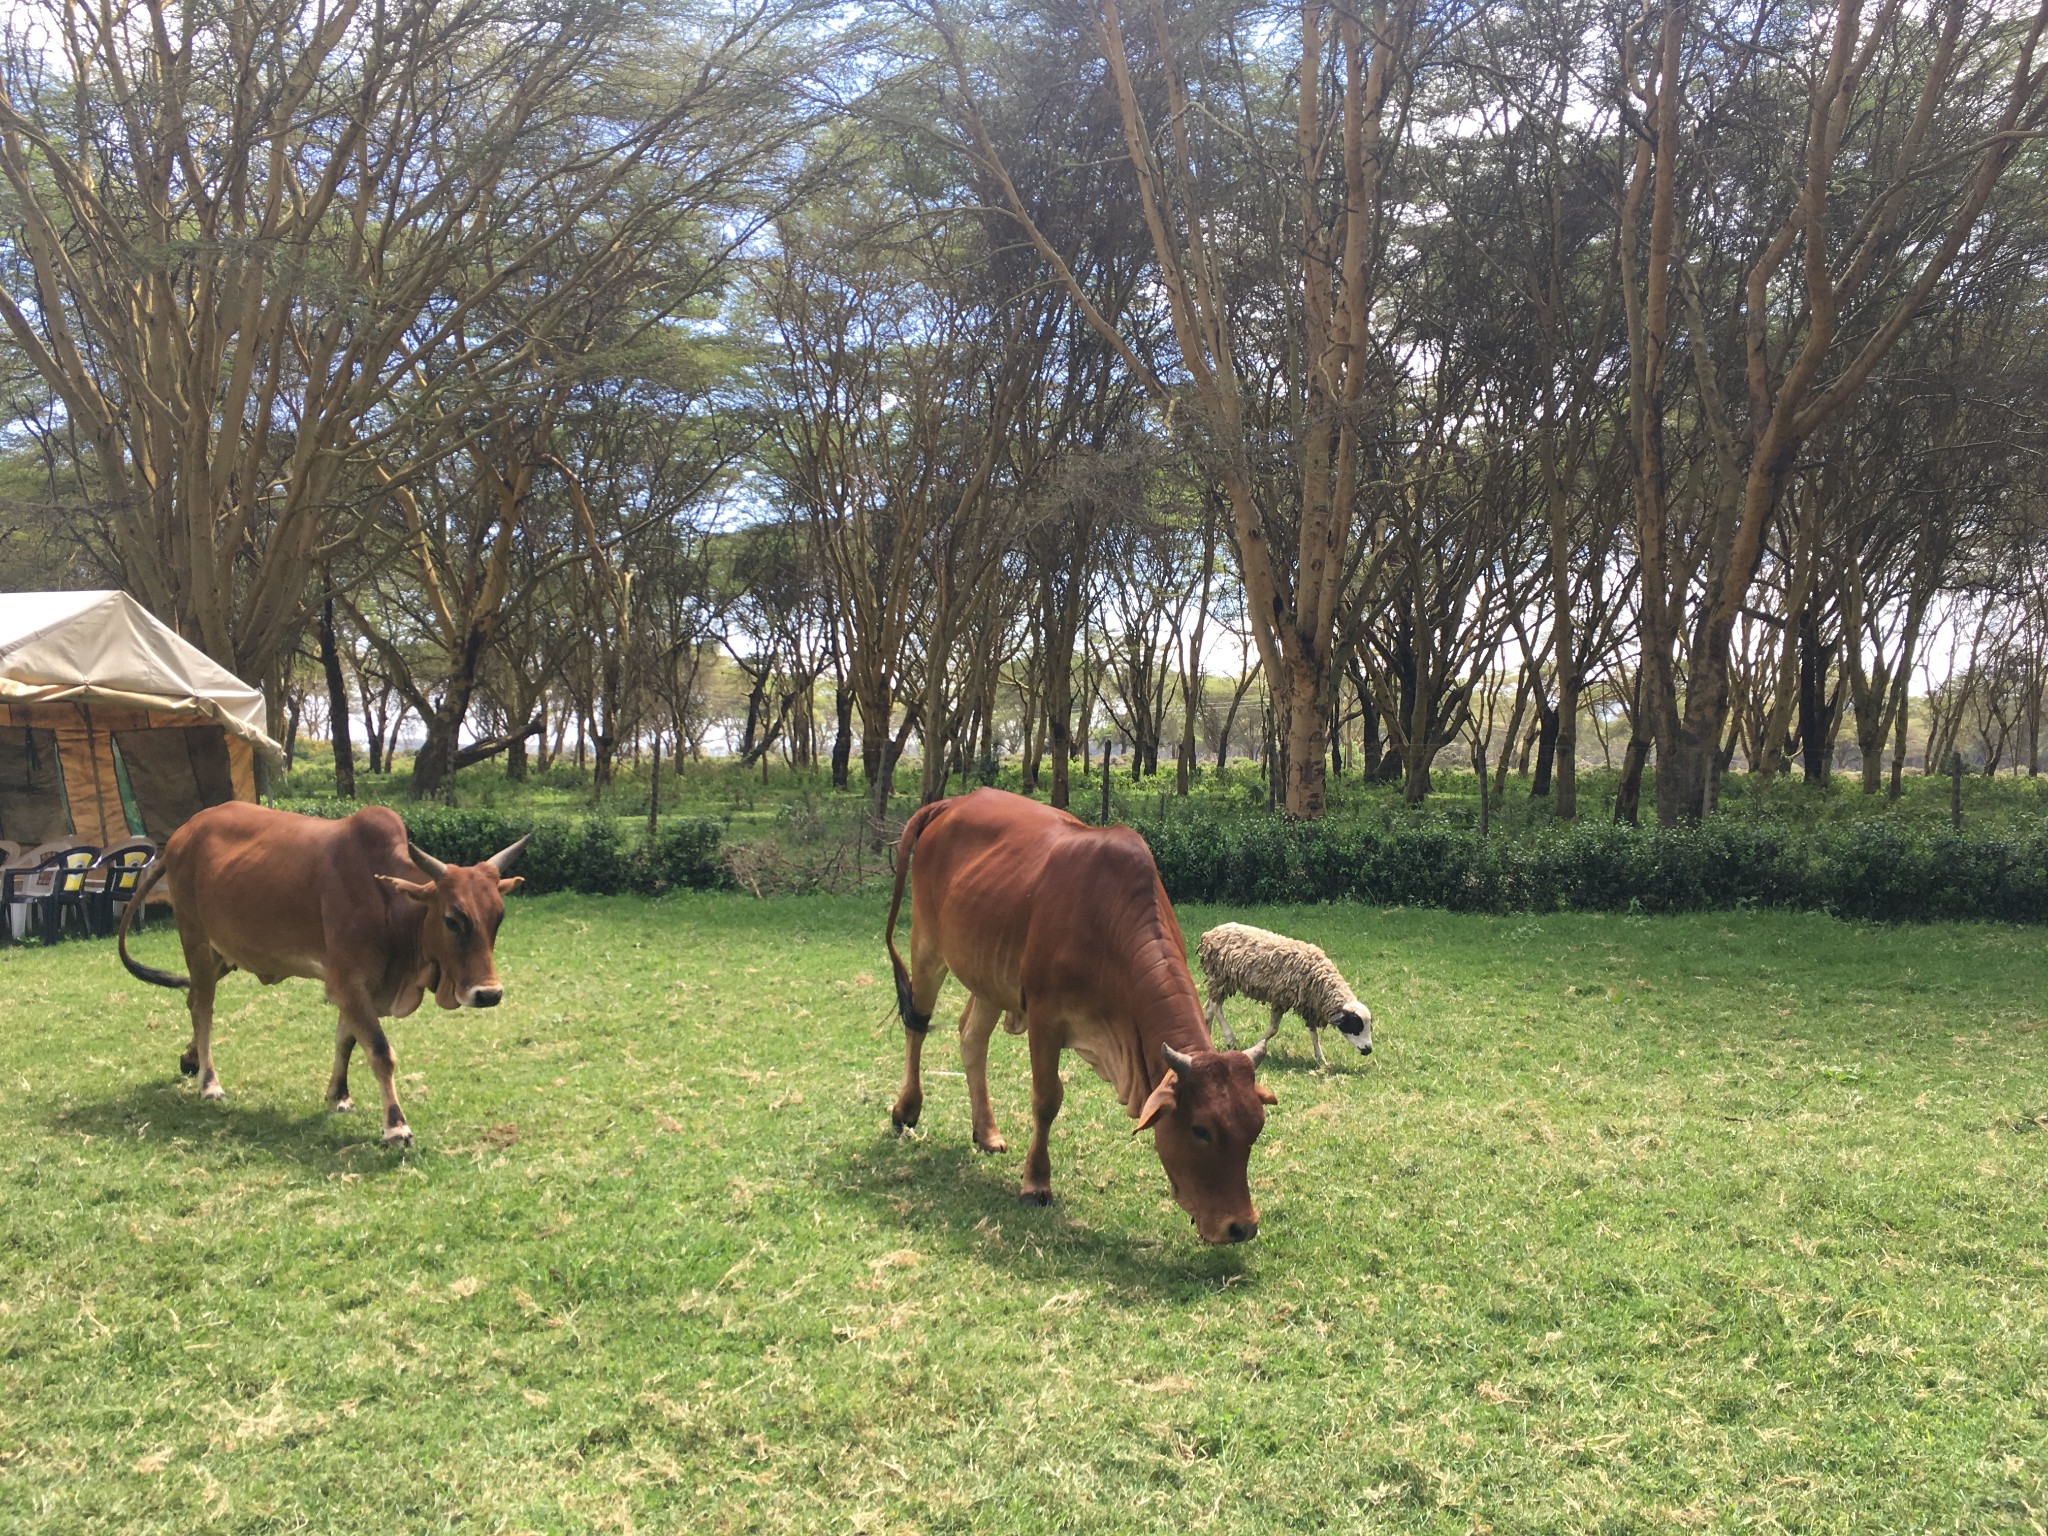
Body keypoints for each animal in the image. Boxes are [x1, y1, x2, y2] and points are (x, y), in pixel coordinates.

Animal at [117, 806, 528, 1146]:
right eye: (452, 919)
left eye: (498, 917)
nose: (488, 994)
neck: (387, 902)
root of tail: (180, 836)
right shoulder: (348, 983)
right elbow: (379, 1051)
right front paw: (396, 1127)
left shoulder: (362, 988)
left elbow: (346, 1040)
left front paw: (339, 1095)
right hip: (197, 941)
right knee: (203, 1007)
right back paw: (209, 1082)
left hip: (224, 954)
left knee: (192, 999)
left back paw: (190, 1060)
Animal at [884, 786, 1269, 1245]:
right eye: (1201, 1130)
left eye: (1256, 1128)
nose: (1241, 1226)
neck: (1109, 927)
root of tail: (951, 802)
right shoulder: (1044, 1018)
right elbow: (1047, 1099)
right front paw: (1036, 1185)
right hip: (927, 945)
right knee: (917, 1025)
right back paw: (906, 1109)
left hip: (988, 974)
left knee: (970, 1037)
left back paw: (987, 1132)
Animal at [1196, 925, 1376, 1073]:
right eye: (1355, 1024)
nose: (1368, 1050)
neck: (1321, 980)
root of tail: (1209, 934)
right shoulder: (1280, 999)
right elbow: (1273, 1029)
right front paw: (1258, 1046)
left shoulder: (1309, 1006)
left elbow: (1314, 1034)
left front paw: (1321, 1060)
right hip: (1221, 977)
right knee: (1216, 1006)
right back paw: (1230, 1039)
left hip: (1221, 981)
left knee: (1209, 1006)